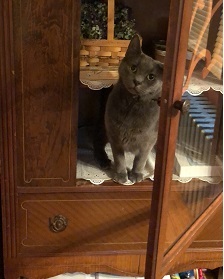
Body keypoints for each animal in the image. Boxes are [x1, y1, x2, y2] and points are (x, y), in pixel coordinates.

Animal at [104, 34, 164, 184]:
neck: (133, 104)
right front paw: (121, 175)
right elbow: (119, 159)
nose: (137, 81)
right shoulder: (115, 137)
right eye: (133, 68)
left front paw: (136, 174)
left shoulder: (147, 142)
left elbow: (140, 160)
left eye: (151, 77)